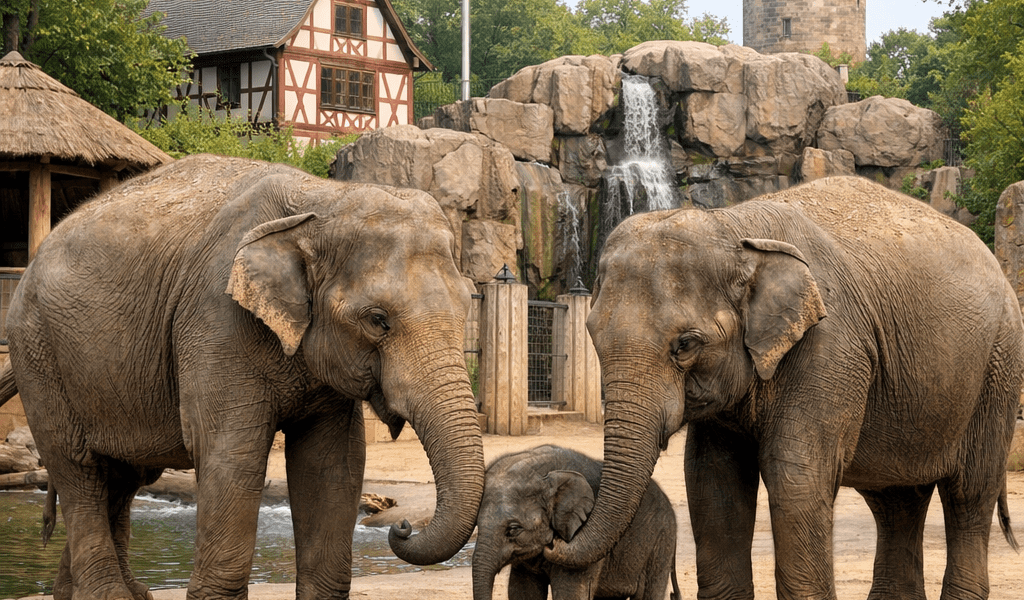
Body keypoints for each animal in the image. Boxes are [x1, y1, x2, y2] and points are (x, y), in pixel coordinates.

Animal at [0, 154, 485, 600]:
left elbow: (332, 464)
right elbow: (232, 455)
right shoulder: (216, 320)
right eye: (377, 320)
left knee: (121, 478)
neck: (321, 201)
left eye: (467, 304)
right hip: (38, 354)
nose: (401, 526)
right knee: (78, 472)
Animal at [472, 445, 678, 600]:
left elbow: (570, 593)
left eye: (513, 529)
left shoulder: (583, 532)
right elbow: (522, 590)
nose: (553, 545)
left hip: (661, 541)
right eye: (477, 526)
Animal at [544, 176, 1023, 600]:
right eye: (592, 336)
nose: (553, 539)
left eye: (685, 345)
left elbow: (796, 477)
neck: (734, 228)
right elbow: (712, 482)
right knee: (895, 501)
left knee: (969, 495)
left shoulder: (831, 347)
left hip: (998, 369)